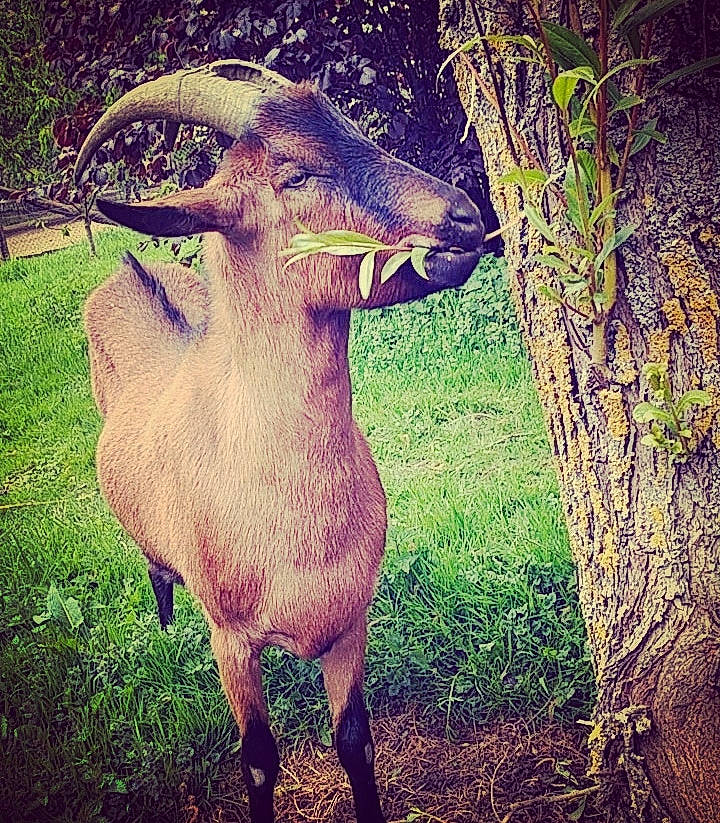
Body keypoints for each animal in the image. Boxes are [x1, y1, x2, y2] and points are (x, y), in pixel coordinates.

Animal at [74, 60, 485, 823]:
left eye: (358, 132)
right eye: (294, 174)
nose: (465, 217)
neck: (290, 514)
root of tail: (126, 266)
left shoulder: (349, 624)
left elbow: (355, 741)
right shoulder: (233, 642)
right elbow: (260, 761)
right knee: (155, 564)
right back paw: (165, 622)